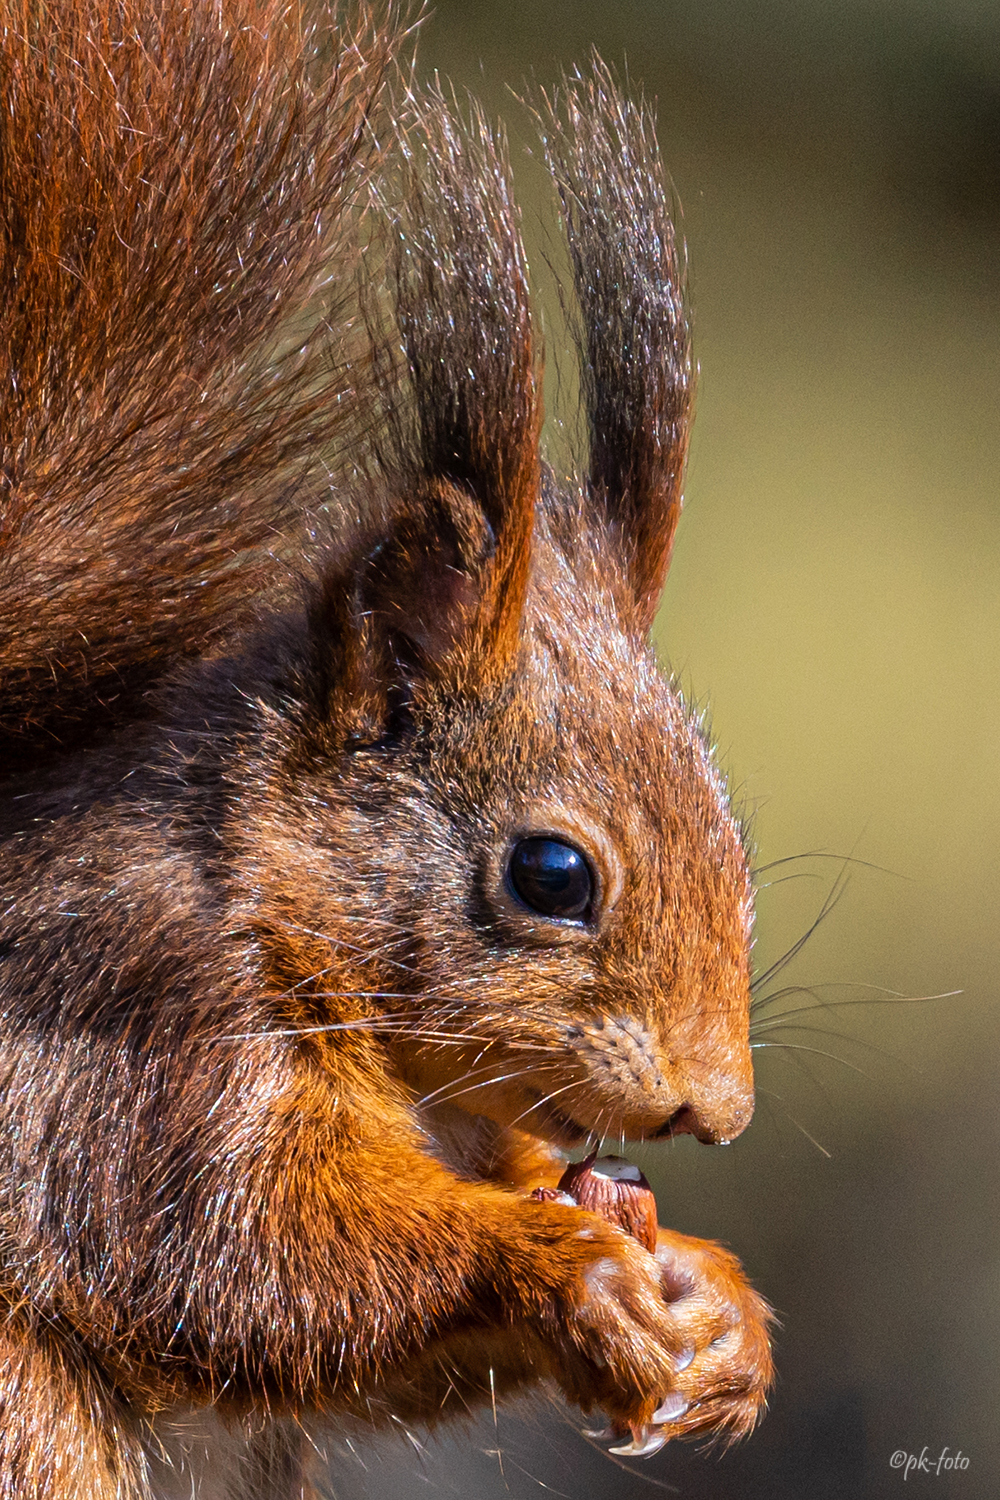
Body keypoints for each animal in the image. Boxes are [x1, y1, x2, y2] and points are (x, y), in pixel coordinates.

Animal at [0, 0, 773, 1494]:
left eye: (741, 859)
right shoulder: (131, 1035)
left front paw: (718, 1309)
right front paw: (558, 1263)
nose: (717, 1114)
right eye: (551, 877)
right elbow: (246, 1264)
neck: (255, 886)